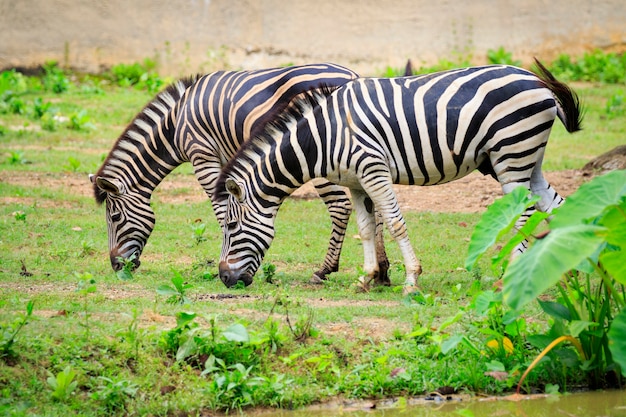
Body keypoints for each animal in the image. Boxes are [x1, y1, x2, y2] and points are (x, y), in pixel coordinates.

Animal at [88, 62, 388, 282]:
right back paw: (383, 270)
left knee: (340, 206)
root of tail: (352, 75)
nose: (117, 266)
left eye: (114, 217)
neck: (175, 125)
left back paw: (325, 270)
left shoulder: (202, 155)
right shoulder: (223, 160)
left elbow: (221, 209)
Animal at [213, 58, 580, 292]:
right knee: (559, 206)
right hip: (528, 158)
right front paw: (366, 278)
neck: (322, 137)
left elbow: (394, 222)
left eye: (231, 226)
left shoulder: (372, 169)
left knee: (524, 215)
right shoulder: (356, 182)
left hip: (511, 155)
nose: (225, 279)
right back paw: (578, 266)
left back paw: (514, 275)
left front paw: (411, 280)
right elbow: (364, 229)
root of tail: (538, 83)